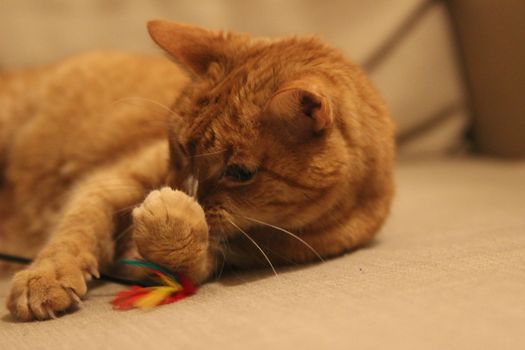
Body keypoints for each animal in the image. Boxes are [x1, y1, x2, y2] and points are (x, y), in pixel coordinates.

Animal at [0, 21, 392, 320]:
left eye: (239, 172)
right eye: (180, 146)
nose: (187, 190)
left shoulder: (220, 259)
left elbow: (182, 256)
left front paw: (170, 220)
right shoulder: (111, 181)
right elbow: (77, 229)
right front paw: (45, 277)